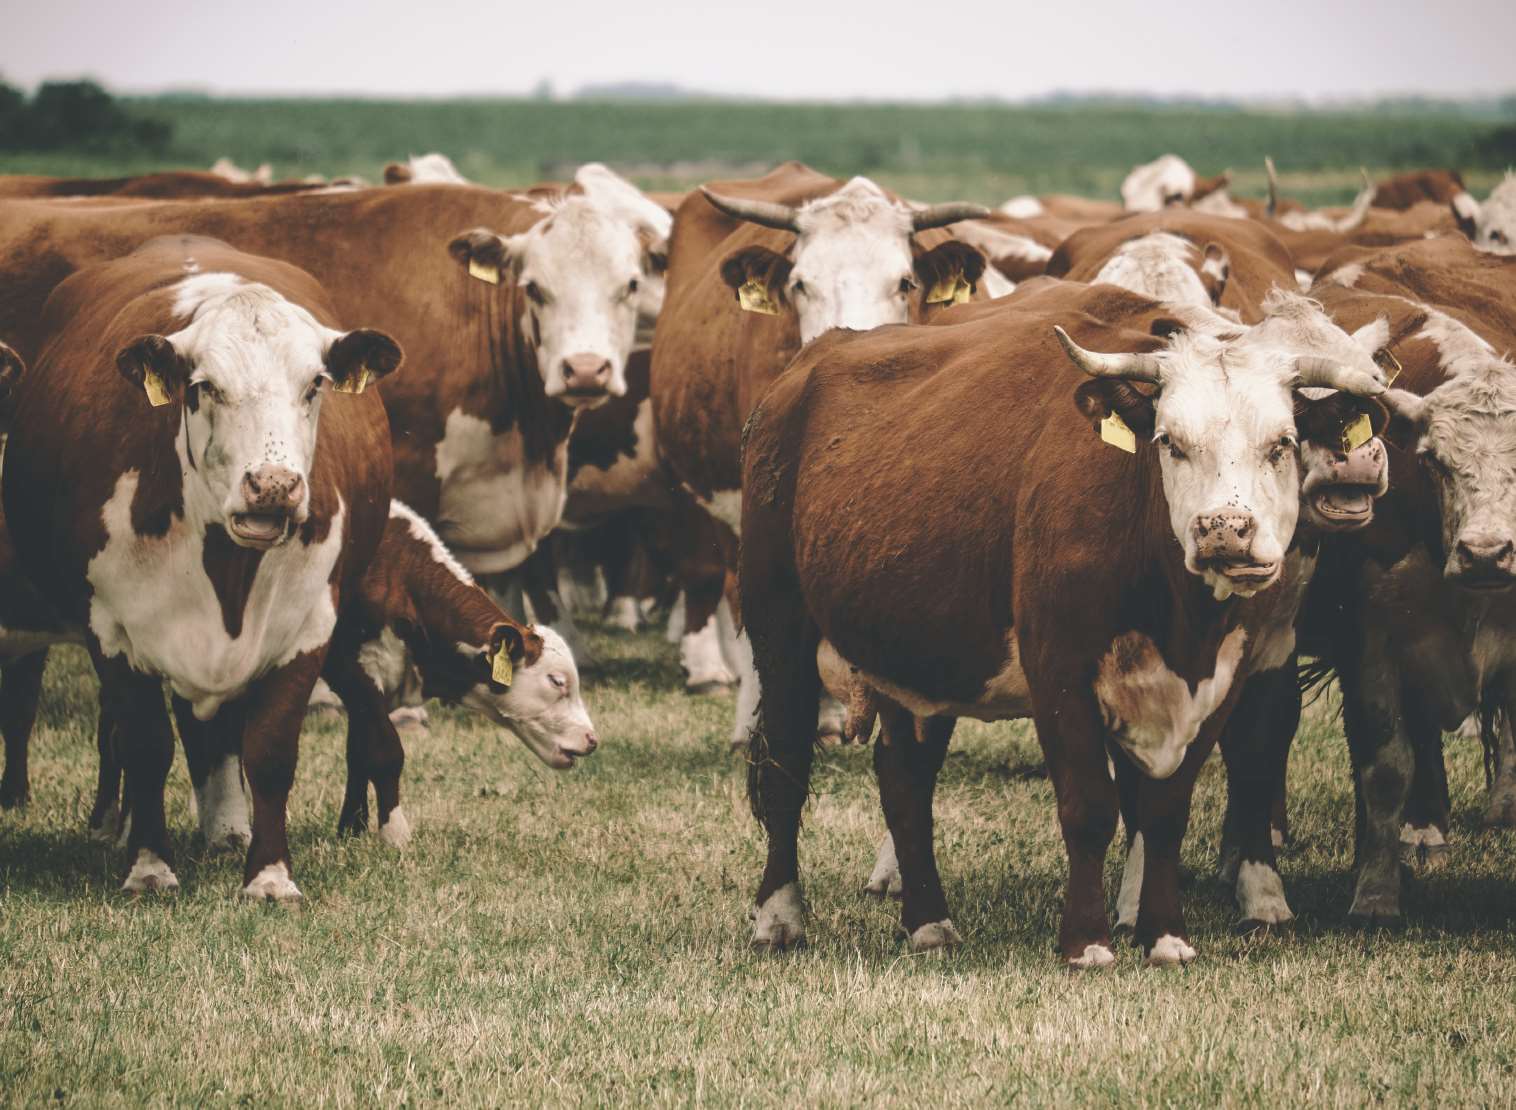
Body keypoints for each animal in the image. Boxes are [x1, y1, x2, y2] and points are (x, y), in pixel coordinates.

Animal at [733, 277, 1388, 964]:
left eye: (1281, 443)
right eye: (1169, 442)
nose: (1224, 530)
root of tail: (803, 369)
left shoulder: (1225, 675)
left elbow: (1166, 811)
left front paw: (1165, 935)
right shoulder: (1059, 670)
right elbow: (1089, 806)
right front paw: (1087, 940)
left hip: (916, 659)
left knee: (904, 780)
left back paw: (929, 921)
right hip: (779, 632)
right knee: (783, 771)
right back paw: (779, 917)